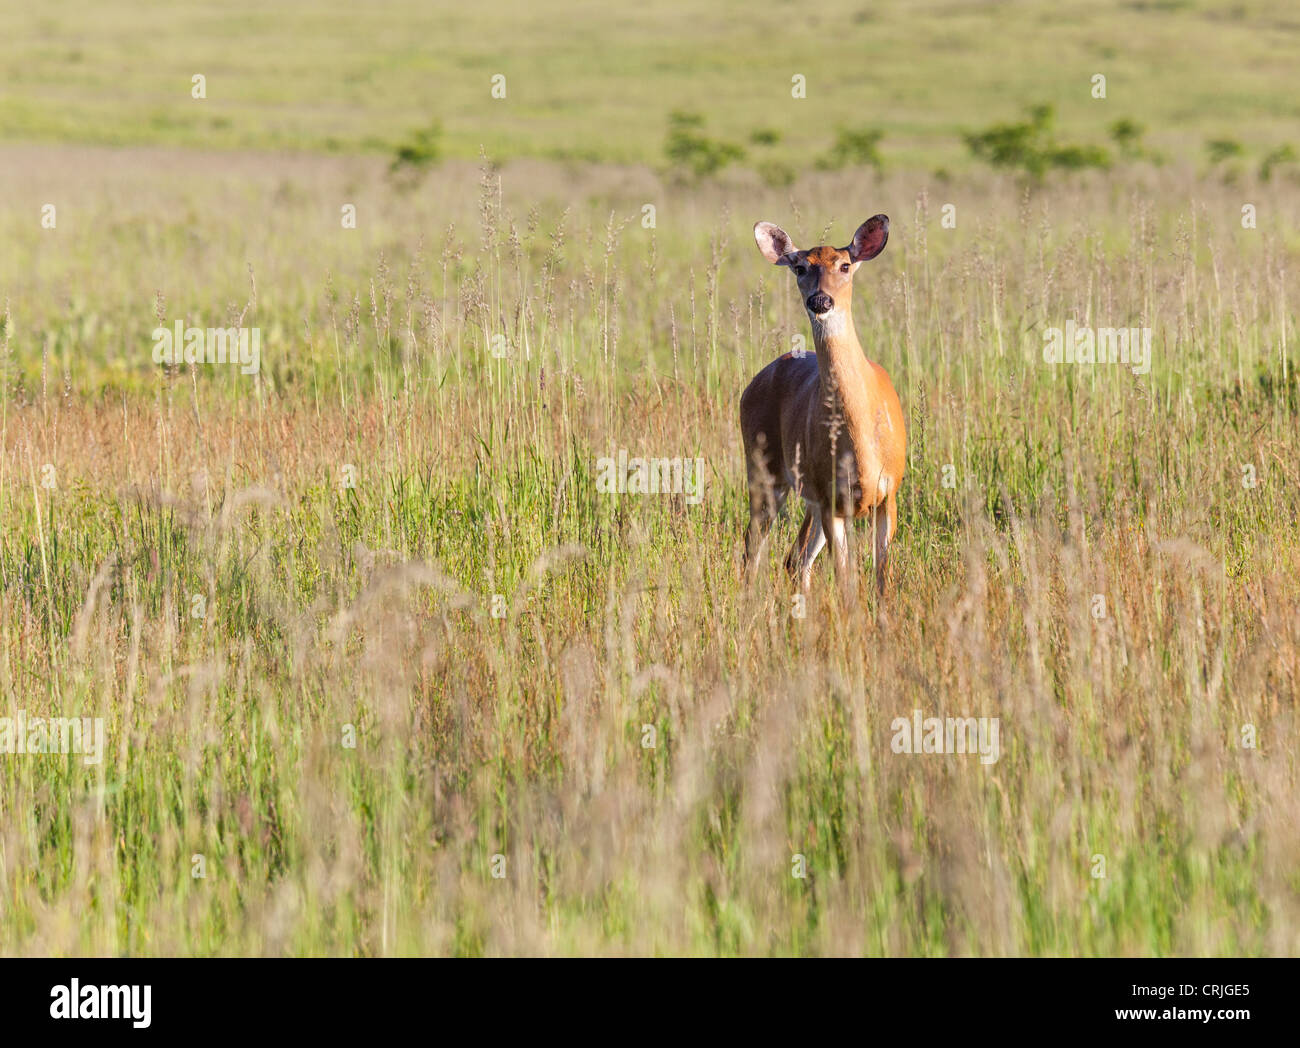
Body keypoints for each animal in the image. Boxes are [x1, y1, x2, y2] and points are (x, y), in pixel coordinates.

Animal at [740, 214, 906, 597]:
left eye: (844, 265)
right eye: (801, 267)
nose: (820, 300)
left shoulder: (887, 493)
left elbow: (882, 578)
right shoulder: (832, 501)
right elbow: (847, 581)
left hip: (810, 496)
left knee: (794, 558)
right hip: (764, 469)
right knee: (753, 550)